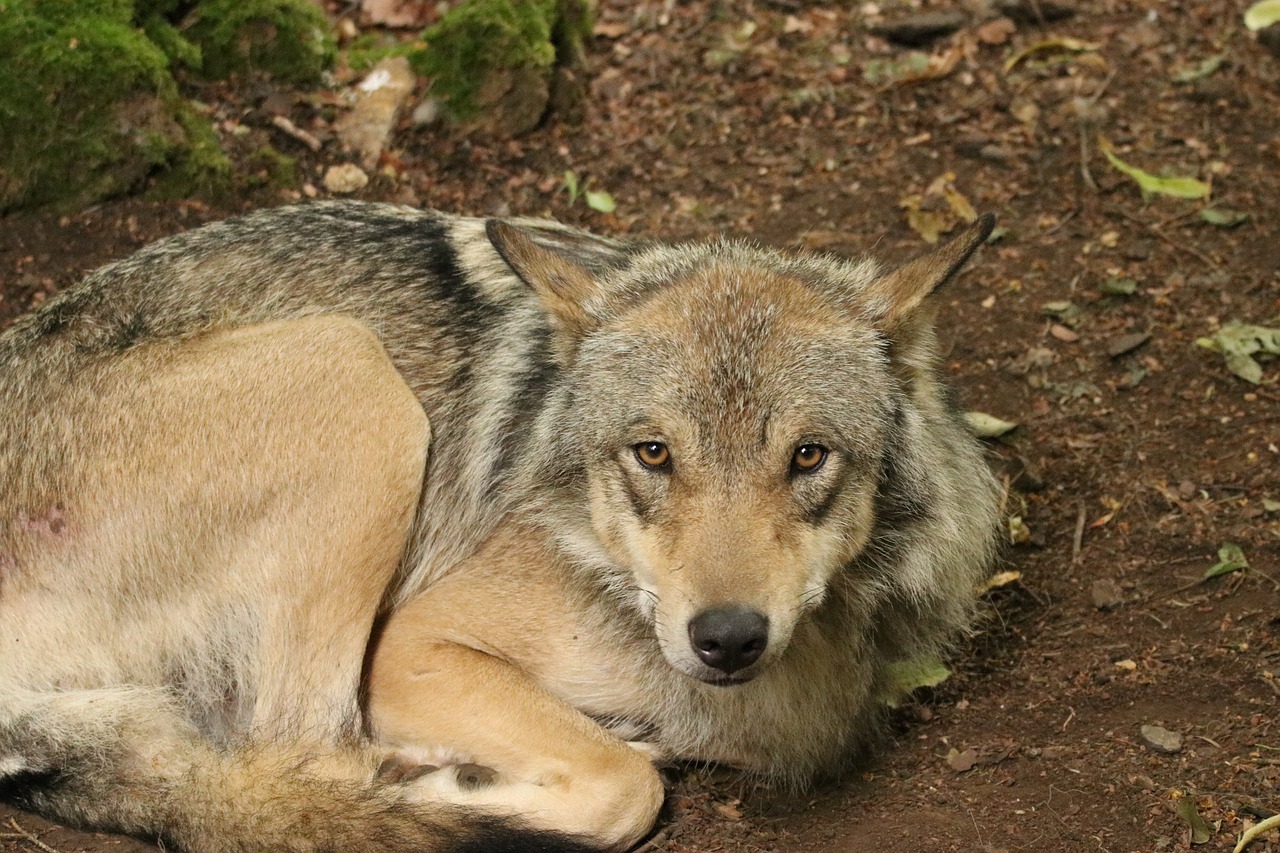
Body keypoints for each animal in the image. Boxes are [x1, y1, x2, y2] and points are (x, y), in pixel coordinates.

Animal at [0, 201, 998, 850]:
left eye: (807, 456)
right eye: (653, 453)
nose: (727, 636)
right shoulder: (409, 645)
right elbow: (627, 787)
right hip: (357, 379)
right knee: (305, 755)